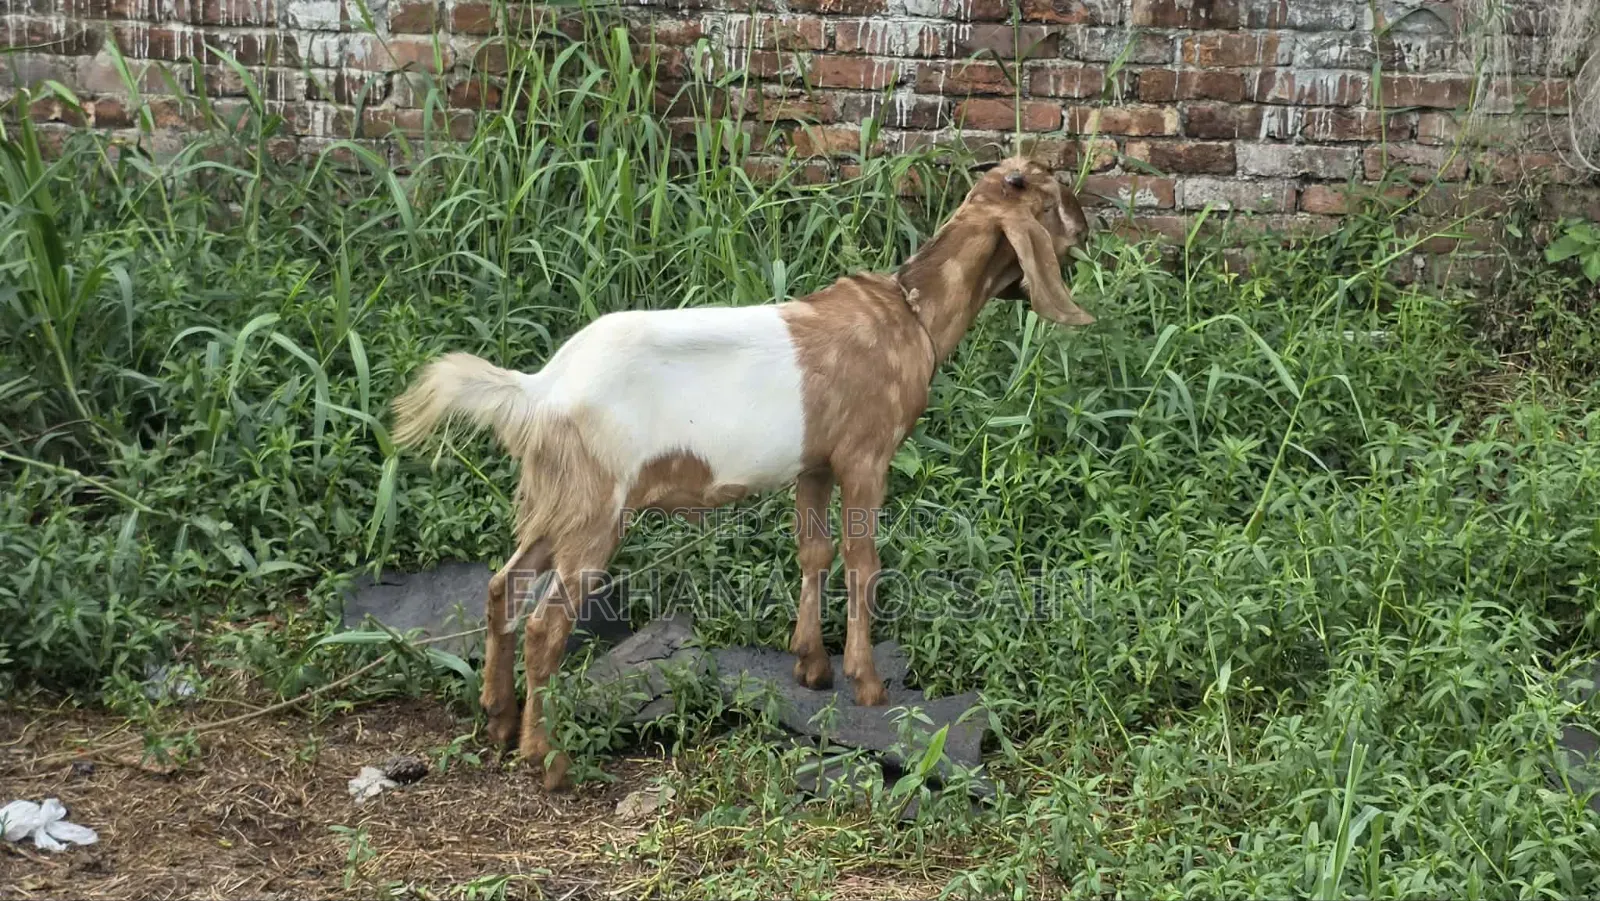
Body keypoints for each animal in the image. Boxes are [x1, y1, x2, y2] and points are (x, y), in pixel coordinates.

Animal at [390, 155, 1096, 789]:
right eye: (1050, 196)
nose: (1090, 226)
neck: (911, 314)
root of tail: (540, 389)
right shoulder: (865, 455)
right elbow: (861, 559)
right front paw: (867, 683)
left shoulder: (814, 463)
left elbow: (813, 551)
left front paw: (811, 666)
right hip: (597, 512)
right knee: (545, 626)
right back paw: (549, 761)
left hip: (558, 501)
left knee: (500, 587)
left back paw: (498, 720)